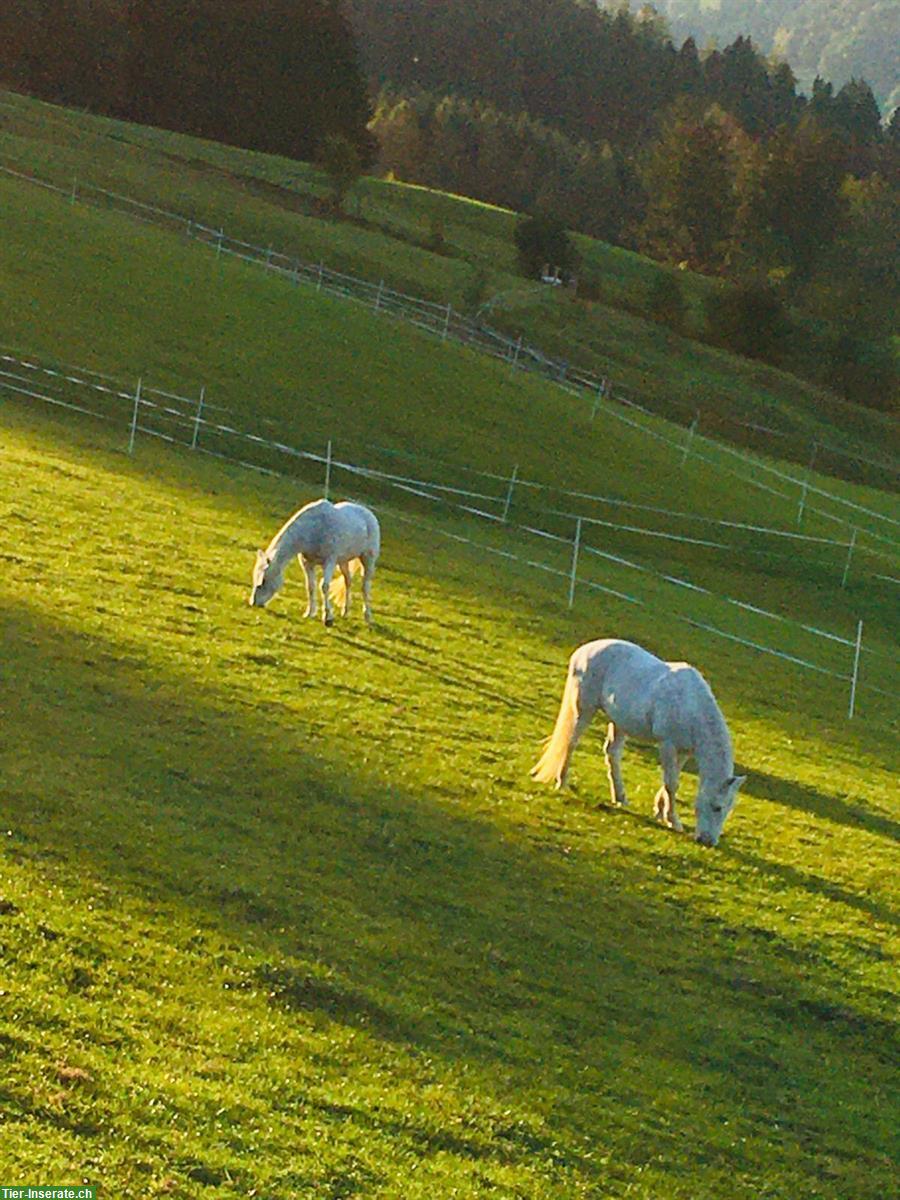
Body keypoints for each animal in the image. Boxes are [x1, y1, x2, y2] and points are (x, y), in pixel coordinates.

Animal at [250, 499, 381, 628]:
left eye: (263, 581)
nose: (253, 603)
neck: (313, 529)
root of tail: (369, 513)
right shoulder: (308, 564)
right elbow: (310, 587)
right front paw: (309, 613)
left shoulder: (329, 562)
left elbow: (324, 586)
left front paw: (328, 618)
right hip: (343, 562)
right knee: (348, 581)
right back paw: (345, 611)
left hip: (368, 559)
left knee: (365, 586)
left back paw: (368, 616)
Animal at [535, 643, 748, 849]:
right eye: (717, 807)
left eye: (727, 809)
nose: (708, 842)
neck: (691, 706)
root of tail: (583, 651)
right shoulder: (667, 744)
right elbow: (671, 783)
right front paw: (672, 820)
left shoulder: (683, 752)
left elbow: (670, 781)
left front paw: (660, 811)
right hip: (585, 709)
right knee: (571, 742)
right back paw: (562, 782)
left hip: (619, 722)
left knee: (612, 753)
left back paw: (620, 797)